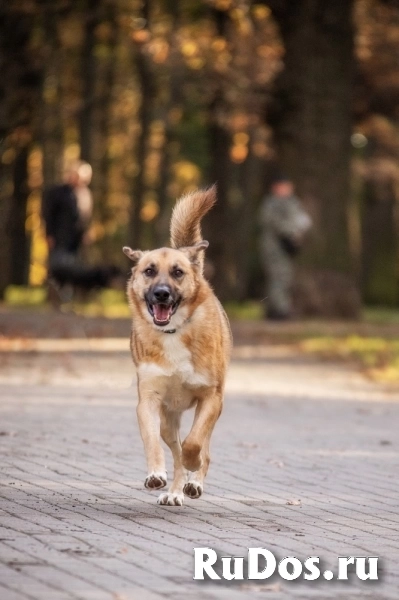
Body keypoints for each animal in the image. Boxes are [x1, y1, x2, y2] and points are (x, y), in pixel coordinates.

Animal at [123, 188, 233, 506]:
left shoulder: (211, 398)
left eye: (178, 272)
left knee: (202, 448)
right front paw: (155, 474)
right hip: (167, 420)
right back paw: (174, 490)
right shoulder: (148, 400)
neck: (173, 331)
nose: (161, 294)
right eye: (149, 271)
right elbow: (153, 443)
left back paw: (194, 481)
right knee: (173, 450)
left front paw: (193, 464)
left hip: (210, 410)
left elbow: (194, 444)